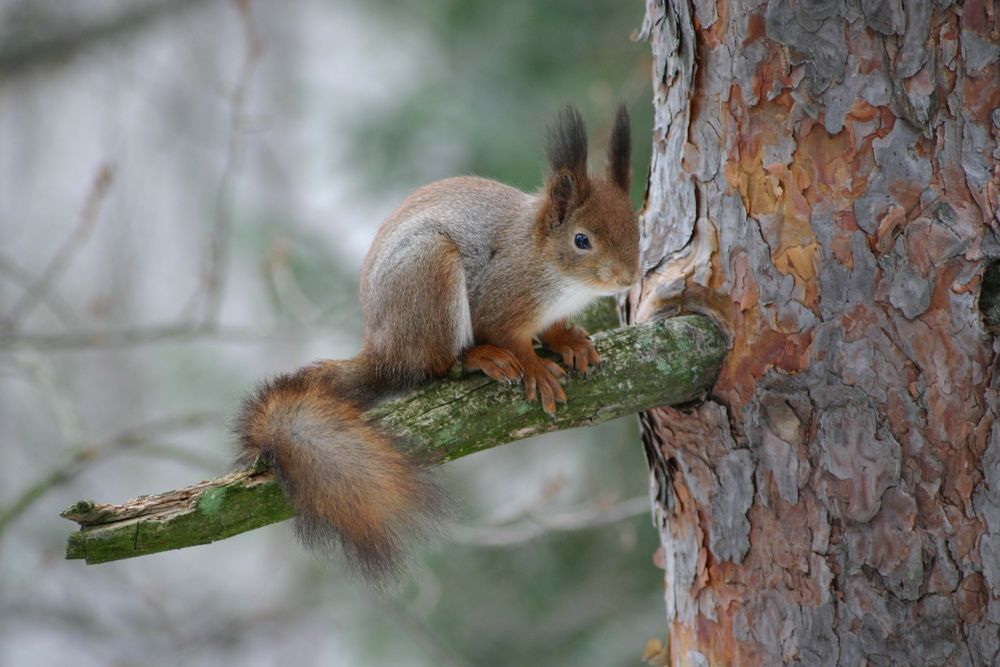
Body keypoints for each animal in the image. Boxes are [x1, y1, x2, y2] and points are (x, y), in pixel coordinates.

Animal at [235, 105, 639, 583]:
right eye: (582, 240)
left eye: (635, 225)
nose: (629, 277)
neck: (556, 274)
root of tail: (385, 353)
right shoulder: (502, 297)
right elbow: (509, 336)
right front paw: (536, 368)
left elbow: (554, 329)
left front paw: (570, 341)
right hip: (431, 275)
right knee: (441, 365)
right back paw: (480, 358)